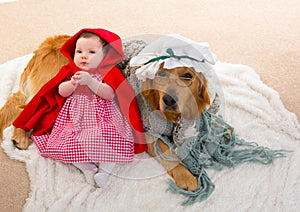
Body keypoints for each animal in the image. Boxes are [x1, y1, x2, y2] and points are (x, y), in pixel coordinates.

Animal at [0, 34, 211, 190]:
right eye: (161, 73)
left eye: (187, 76)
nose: (169, 99)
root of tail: (44, 47)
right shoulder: (146, 131)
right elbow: (168, 152)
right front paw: (186, 176)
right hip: (52, 87)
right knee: (26, 107)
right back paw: (21, 136)